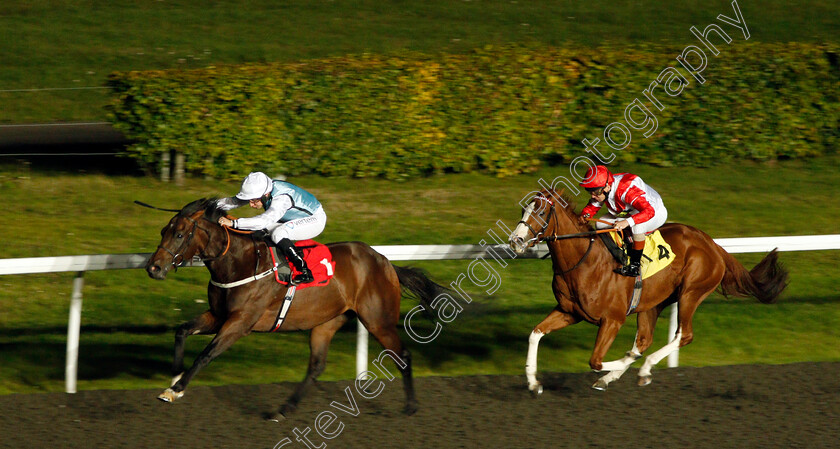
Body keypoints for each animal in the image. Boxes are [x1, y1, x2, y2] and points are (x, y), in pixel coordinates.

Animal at [146, 199, 446, 416]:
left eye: (180, 234)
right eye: (162, 231)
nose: (153, 268)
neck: (238, 262)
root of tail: (385, 262)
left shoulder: (241, 322)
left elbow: (206, 354)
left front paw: (177, 388)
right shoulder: (219, 315)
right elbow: (182, 330)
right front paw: (174, 378)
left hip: (377, 320)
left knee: (403, 355)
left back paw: (411, 407)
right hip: (328, 321)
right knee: (316, 366)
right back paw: (284, 408)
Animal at [508, 188, 792, 392]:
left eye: (540, 212)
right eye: (524, 209)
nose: (515, 241)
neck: (583, 261)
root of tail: (712, 244)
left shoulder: (612, 319)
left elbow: (595, 361)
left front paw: (625, 361)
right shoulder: (570, 312)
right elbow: (535, 334)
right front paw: (533, 383)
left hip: (691, 292)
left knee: (683, 335)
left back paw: (642, 368)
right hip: (654, 302)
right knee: (645, 339)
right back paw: (618, 373)